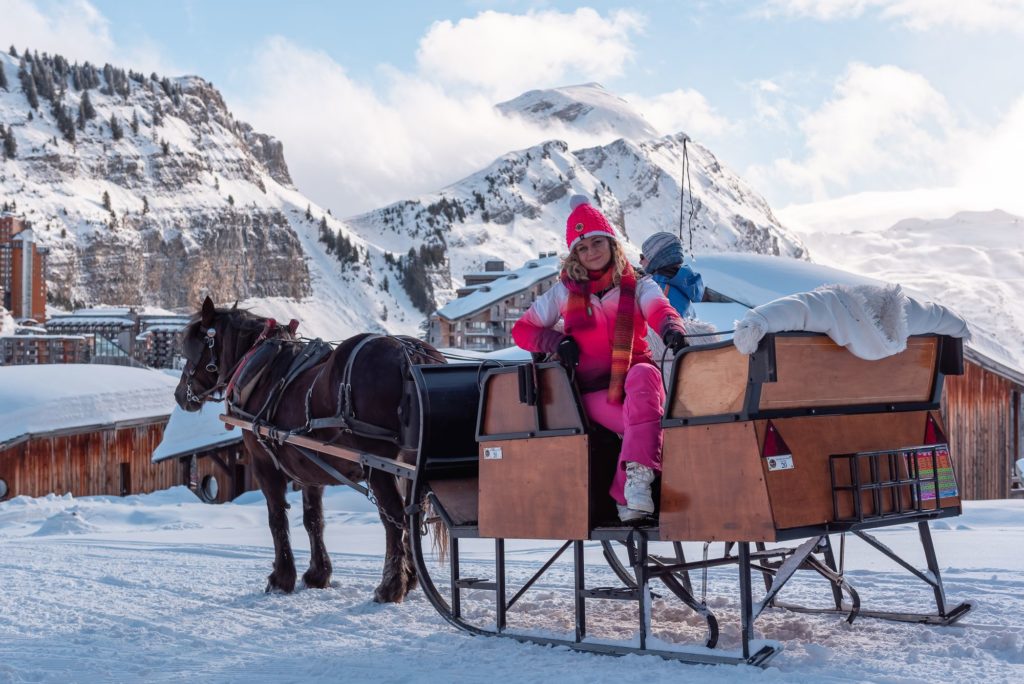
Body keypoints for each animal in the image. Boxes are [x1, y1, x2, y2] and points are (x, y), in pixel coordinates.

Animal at [173, 296, 444, 602]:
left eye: (191, 349)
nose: (181, 395)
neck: (262, 372)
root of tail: (410, 355)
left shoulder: (263, 464)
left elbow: (277, 517)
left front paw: (281, 578)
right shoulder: (310, 470)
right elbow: (314, 519)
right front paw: (317, 574)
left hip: (380, 466)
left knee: (395, 518)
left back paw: (391, 586)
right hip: (408, 466)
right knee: (411, 516)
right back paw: (408, 580)